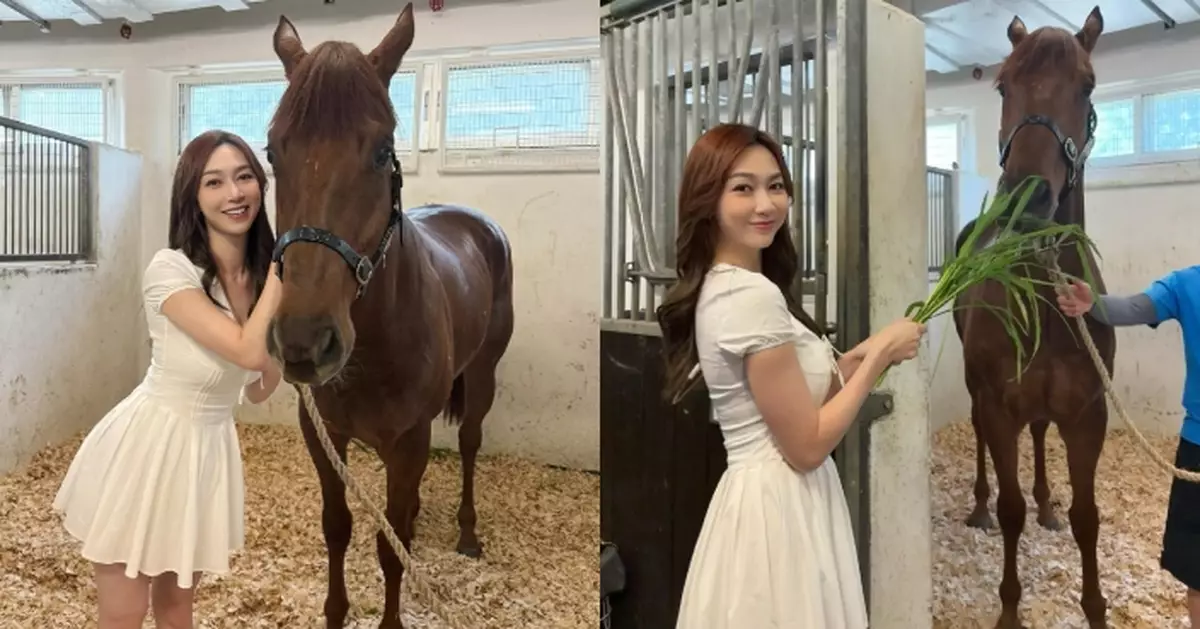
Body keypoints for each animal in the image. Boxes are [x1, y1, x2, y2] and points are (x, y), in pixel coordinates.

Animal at [263, 4, 516, 627]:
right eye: (273, 152)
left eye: (382, 150)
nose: (305, 342)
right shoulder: (324, 433)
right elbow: (339, 528)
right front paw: (335, 612)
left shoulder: (408, 441)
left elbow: (387, 547)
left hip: (482, 374)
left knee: (470, 442)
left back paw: (466, 533)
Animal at [951, 7, 1115, 629]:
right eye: (1003, 85)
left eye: (1087, 84)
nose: (1026, 197)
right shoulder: (999, 405)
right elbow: (1010, 507)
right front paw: (1008, 609)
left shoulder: (1088, 415)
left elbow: (1087, 516)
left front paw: (1096, 609)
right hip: (976, 391)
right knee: (980, 437)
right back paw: (977, 507)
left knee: (1041, 435)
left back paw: (1048, 503)